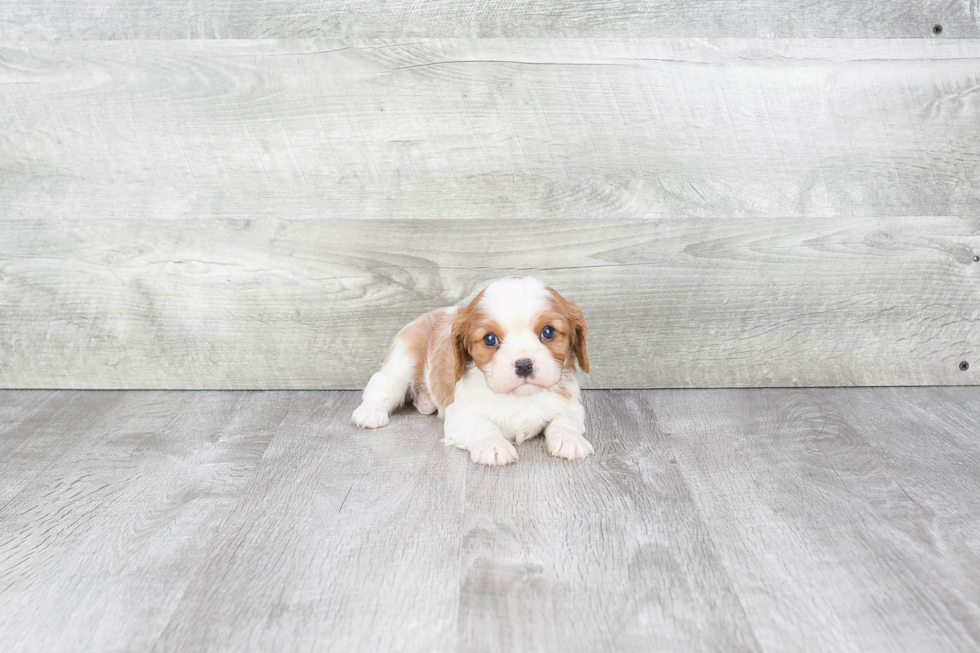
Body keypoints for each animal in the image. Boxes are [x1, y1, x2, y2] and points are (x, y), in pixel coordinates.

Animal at [354, 276, 596, 464]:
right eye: (490, 339)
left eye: (548, 332)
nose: (524, 364)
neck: (519, 397)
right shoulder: (459, 415)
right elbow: (481, 425)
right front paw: (494, 446)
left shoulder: (570, 406)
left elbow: (565, 421)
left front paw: (570, 440)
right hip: (403, 361)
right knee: (380, 387)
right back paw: (370, 412)